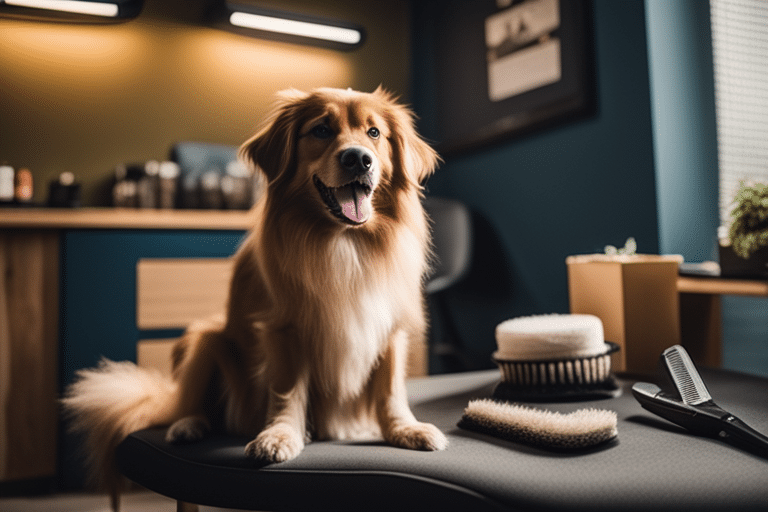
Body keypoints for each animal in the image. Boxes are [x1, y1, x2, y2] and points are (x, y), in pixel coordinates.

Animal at [64, 87, 450, 504]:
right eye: (321, 129)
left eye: (375, 133)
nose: (358, 158)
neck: (344, 243)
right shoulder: (284, 328)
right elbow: (288, 390)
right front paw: (281, 434)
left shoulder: (391, 327)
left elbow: (391, 390)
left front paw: (404, 429)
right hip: (205, 339)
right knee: (189, 402)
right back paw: (188, 425)